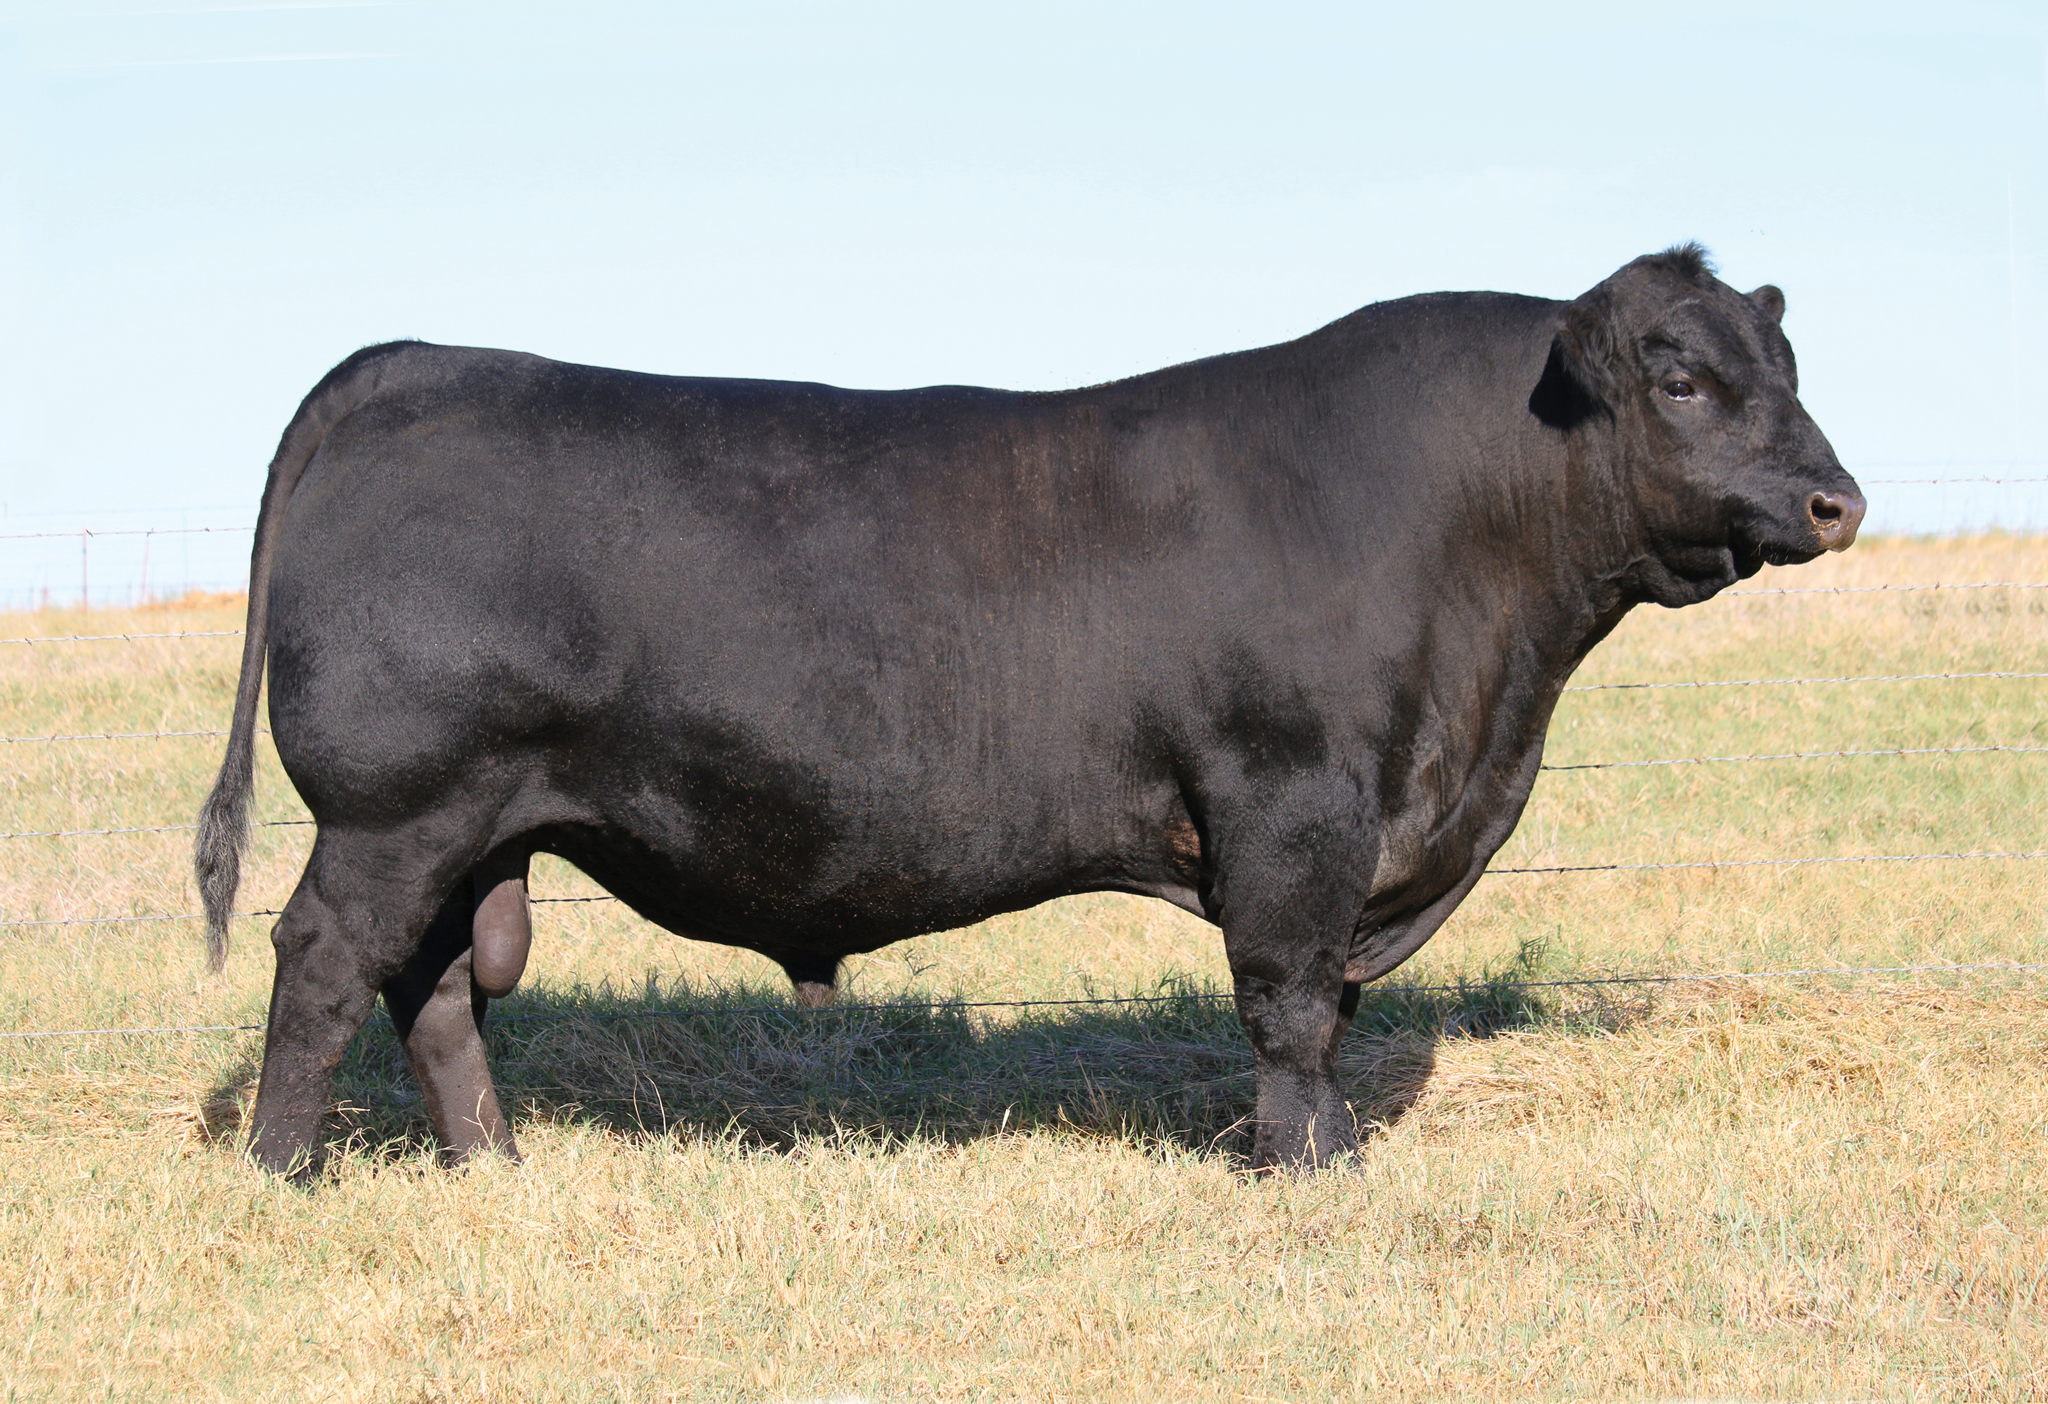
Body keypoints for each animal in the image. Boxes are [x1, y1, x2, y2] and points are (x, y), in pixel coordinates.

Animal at [196, 243, 1863, 1177]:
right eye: (1679, 377)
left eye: (1787, 360)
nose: (1834, 500)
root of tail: (416, 364)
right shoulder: (1292, 805)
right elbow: (1293, 1007)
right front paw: (1314, 1179)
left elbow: (1329, 1009)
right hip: (397, 805)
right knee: (326, 963)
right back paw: (282, 1175)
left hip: (476, 823)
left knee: (436, 991)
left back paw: (496, 1166)